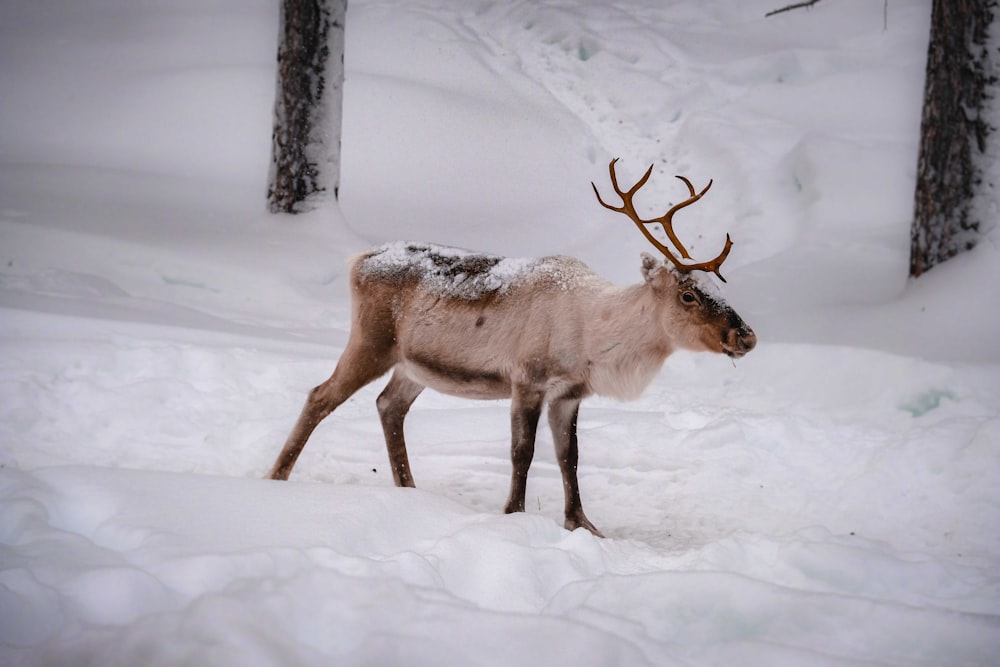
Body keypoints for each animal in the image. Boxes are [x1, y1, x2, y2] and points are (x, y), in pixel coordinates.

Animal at [270, 160, 752, 536]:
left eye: (716, 288)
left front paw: (582, 524)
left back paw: (408, 490)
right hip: (371, 341)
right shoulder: (528, 380)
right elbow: (523, 453)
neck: (595, 338)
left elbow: (569, 457)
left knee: (389, 405)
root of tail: (358, 260)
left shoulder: (569, 393)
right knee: (320, 395)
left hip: (411, 366)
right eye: (688, 295)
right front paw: (514, 514)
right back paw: (276, 478)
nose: (746, 336)